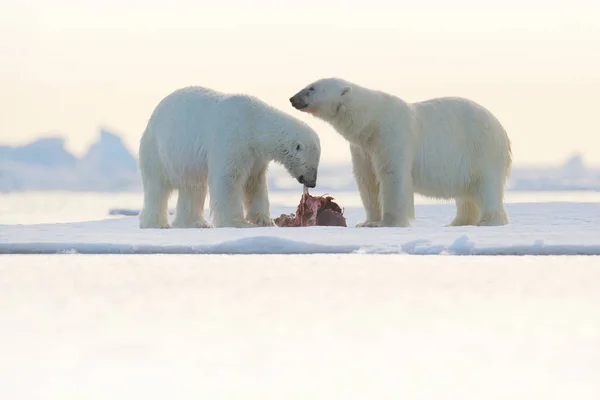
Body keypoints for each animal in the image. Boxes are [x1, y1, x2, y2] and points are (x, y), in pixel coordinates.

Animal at [138, 85, 322, 228]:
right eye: (312, 164)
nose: (312, 183)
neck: (254, 123)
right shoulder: (233, 140)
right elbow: (228, 179)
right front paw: (237, 222)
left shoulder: (255, 155)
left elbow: (254, 181)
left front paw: (265, 220)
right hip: (158, 150)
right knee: (157, 187)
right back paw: (156, 224)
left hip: (187, 162)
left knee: (193, 187)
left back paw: (195, 223)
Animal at [290, 77, 510, 228]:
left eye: (312, 88)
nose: (292, 98)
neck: (371, 121)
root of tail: (501, 129)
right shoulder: (362, 148)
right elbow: (367, 180)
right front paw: (367, 222)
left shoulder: (392, 135)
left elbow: (391, 175)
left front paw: (388, 222)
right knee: (466, 195)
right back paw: (458, 222)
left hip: (481, 149)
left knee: (487, 185)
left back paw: (489, 220)